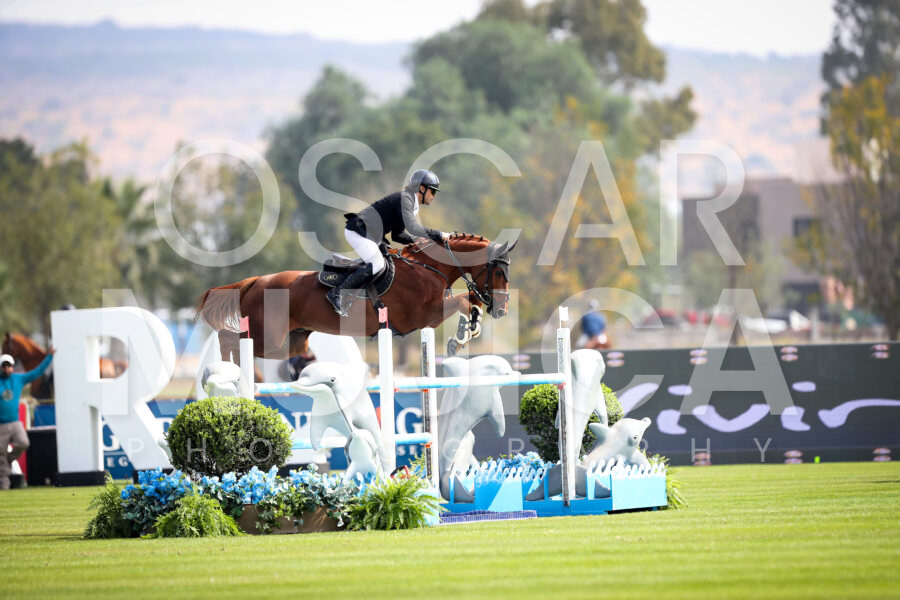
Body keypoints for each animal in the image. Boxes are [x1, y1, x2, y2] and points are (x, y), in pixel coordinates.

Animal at [197, 233, 517, 363]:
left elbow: (471, 304)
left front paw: (464, 335)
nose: (502, 310)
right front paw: (461, 335)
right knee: (228, 339)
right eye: (500, 272)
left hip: (290, 344)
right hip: (268, 337)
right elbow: (464, 302)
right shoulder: (427, 314)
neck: (429, 267)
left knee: (238, 343)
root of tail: (254, 283)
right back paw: (222, 375)